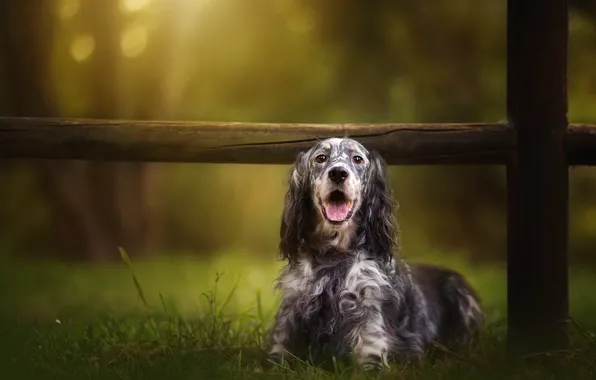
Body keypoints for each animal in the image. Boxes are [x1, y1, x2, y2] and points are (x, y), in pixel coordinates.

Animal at [268, 138, 482, 370]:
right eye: (321, 158)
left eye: (357, 159)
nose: (338, 173)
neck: (333, 257)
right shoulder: (290, 315)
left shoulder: (370, 324)